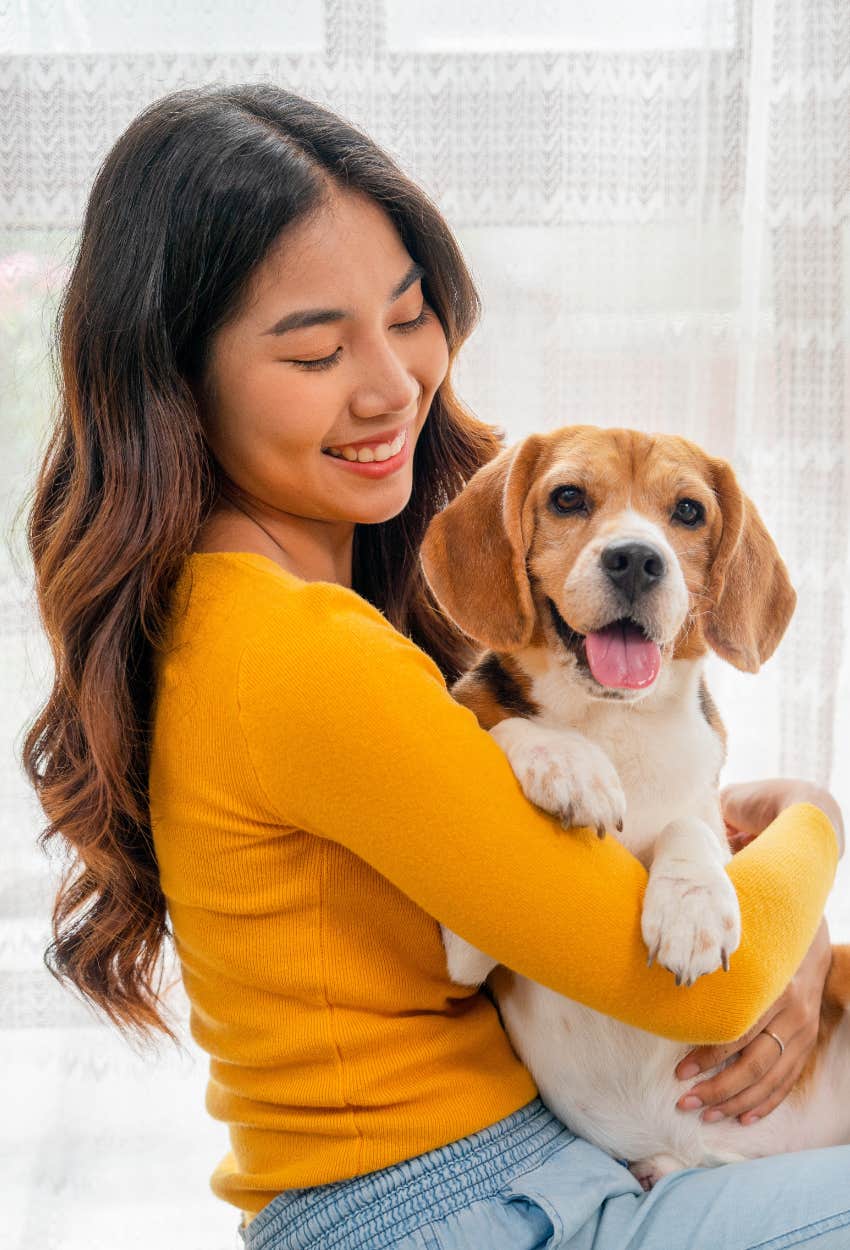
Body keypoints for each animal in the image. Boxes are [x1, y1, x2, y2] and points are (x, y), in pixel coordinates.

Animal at [417, 425, 850, 1185]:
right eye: (567, 498)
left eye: (688, 511)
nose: (636, 561)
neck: (613, 720)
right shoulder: (462, 956)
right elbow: (503, 726)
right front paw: (567, 764)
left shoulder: (714, 822)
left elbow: (690, 827)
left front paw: (691, 907)